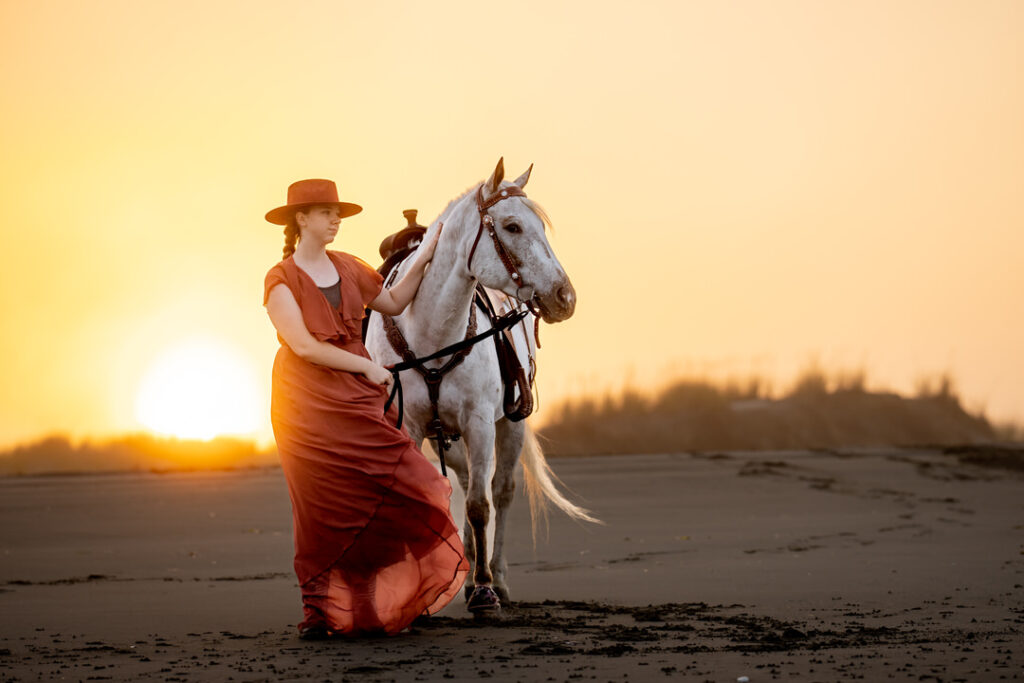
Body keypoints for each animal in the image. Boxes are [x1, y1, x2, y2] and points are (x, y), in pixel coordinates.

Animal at [364, 158, 598, 614]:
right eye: (512, 226)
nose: (565, 297)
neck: (433, 335)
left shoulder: (480, 424)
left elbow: (479, 505)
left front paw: (486, 591)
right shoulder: (409, 427)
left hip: (509, 426)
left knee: (499, 493)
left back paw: (494, 577)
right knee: (465, 481)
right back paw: (471, 569)